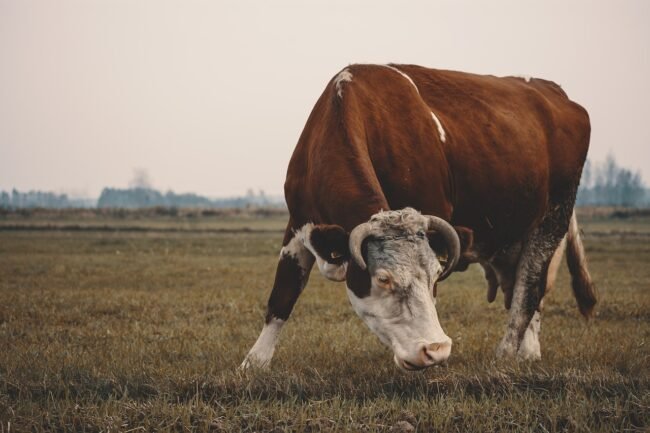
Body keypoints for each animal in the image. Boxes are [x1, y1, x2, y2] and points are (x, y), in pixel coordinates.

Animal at [241, 64, 597, 371]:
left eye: (437, 274)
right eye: (383, 279)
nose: (435, 350)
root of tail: (554, 92)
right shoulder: (298, 224)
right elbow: (283, 293)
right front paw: (255, 362)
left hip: (552, 220)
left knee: (529, 288)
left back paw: (509, 354)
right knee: (524, 288)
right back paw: (527, 351)